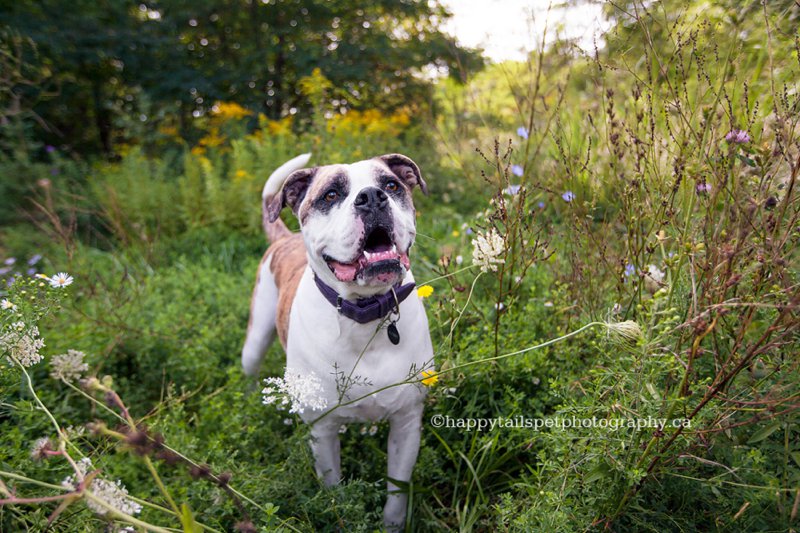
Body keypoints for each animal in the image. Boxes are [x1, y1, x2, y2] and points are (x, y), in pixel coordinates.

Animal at [242, 153, 434, 528]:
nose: (372, 197)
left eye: (392, 185)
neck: (365, 313)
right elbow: (333, 487)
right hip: (255, 340)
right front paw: (341, 511)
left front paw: (391, 524)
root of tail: (283, 238)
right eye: (330, 195)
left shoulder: (406, 423)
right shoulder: (323, 430)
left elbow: (397, 491)